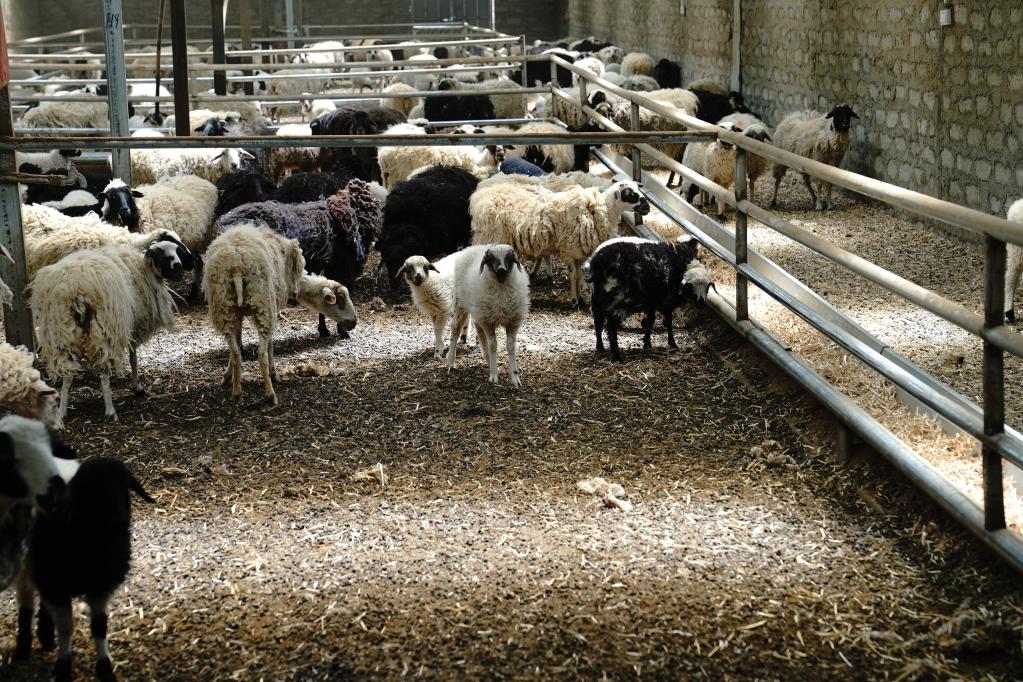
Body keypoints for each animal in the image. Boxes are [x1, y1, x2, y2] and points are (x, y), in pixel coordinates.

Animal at [28, 455, 153, 682]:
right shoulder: (55, 587)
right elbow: (66, 628)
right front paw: (63, 667)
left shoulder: (101, 588)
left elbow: (99, 627)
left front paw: (104, 669)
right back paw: (45, 634)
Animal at [31, 238, 192, 421]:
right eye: (163, 255)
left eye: (178, 252)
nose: (179, 273)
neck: (144, 270)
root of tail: (74, 289)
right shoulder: (131, 327)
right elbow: (134, 358)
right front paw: (137, 387)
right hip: (104, 330)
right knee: (104, 373)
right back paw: (110, 411)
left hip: (60, 334)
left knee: (68, 374)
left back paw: (62, 410)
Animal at [202, 223, 306, 404]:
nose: (295, 295)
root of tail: (236, 265)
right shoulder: (271, 309)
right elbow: (271, 345)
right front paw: (274, 373)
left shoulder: (238, 316)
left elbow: (238, 342)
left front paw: (228, 375)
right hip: (263, 306)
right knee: (261, 352)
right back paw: (270, 392)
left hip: (224, 309)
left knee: (236, 351)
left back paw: (237, 391)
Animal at [446, 244, 530, 386]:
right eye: (490, 259)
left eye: (509, 258)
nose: (501, 270)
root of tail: (472, 248)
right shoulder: (489, 322)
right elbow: (493, 346)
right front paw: (494, 375)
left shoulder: (512, 322)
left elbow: (511, 347)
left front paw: (514, 377)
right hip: (460, 304)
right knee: (455, 331)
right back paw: (450, 361)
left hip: (479, 312)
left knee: (479, 332)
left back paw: (488, 361)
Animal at [470, 179, 650, 306]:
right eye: (630, 193)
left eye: (638, 190)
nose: (647, 208)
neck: (604, 210)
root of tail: (481, 197)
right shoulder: (569, 249)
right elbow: (573, 275)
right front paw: (574, 301)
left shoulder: (577, 252)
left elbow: (579, 274)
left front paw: (581, 299)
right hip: (491, 237)